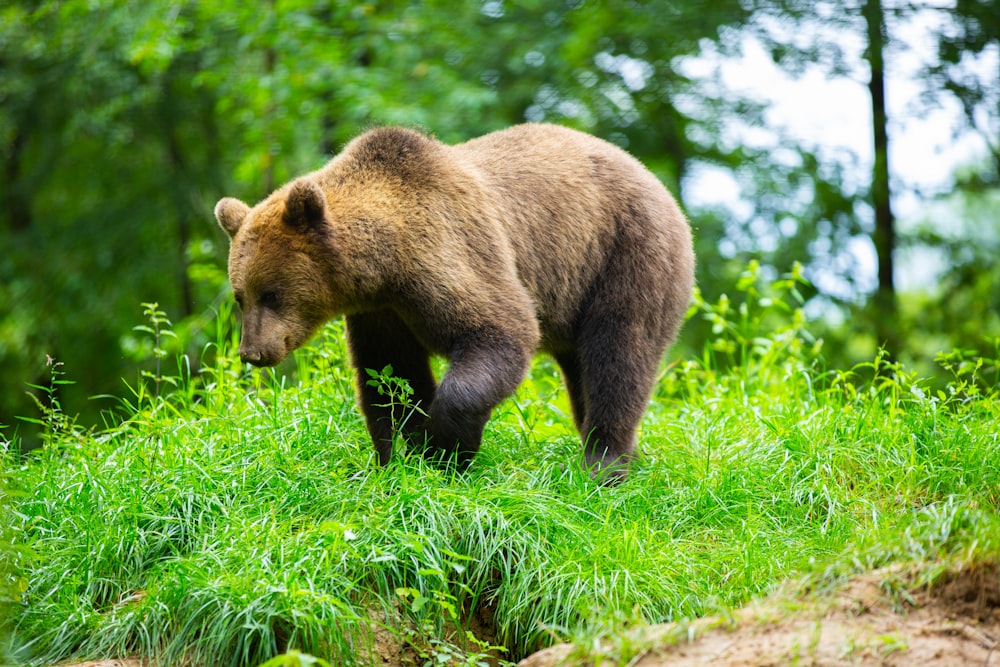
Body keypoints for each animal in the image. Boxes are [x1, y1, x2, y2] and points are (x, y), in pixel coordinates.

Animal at [215, 122, 692, 482]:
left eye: (272, 294)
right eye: (240, 296)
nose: (253, 352)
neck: (385, 265)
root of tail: (655, 181)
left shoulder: (449, 253)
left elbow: (500, 333)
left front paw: (445, 446)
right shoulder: (382, 313)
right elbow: (391, 377)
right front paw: (400, 457)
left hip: (625, 255)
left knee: (619, 356)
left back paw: (604, 462)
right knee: (583, 371)